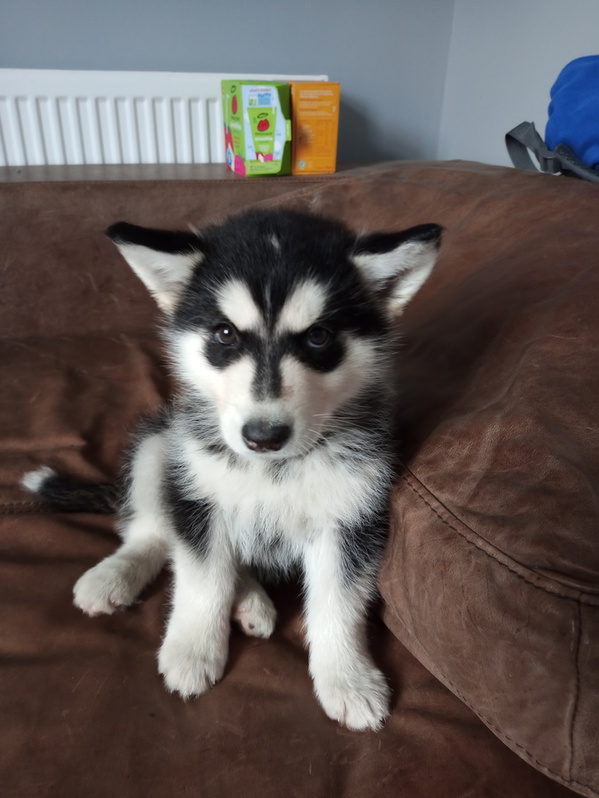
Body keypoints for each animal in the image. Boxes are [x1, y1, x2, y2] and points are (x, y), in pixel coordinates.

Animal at [23, 211, 442, 732]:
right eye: (225, 334)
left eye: (319, 336)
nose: (263, 435)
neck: (273, 469)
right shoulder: (197, 497)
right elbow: (203, 578)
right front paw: (192, 650)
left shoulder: (351, 517)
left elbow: (337, 602)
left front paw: (348, 679)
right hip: (160, 446)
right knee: (153, 532)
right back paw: (119, 575)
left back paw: (250, 601)